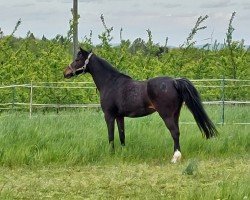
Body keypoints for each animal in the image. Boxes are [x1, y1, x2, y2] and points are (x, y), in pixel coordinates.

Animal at [63, 48, 217, 162]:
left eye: (77, 59)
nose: (65, 72)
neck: (111, 82)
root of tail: (174, 81)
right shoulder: (120, 116)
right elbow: (122, 134)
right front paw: (123, 152)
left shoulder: (109, 115)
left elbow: (111, 135)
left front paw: (111, 153)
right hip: (175, 114)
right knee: (177, 132)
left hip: (166, 115)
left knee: (174, 132)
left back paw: (175, 157)